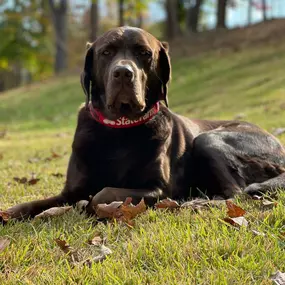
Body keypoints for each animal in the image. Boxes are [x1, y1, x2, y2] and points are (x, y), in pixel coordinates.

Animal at [4, 25, 284, 219]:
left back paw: (196, 202)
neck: (119, 130)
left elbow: (103, 194)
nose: (123, 72)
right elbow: (32, 204)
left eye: (144, 53)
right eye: (106, 52)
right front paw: (12, 213)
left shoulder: (156, 189)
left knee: (235, 193)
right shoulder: (70, 190)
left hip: (210, 139)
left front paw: (95, 205)